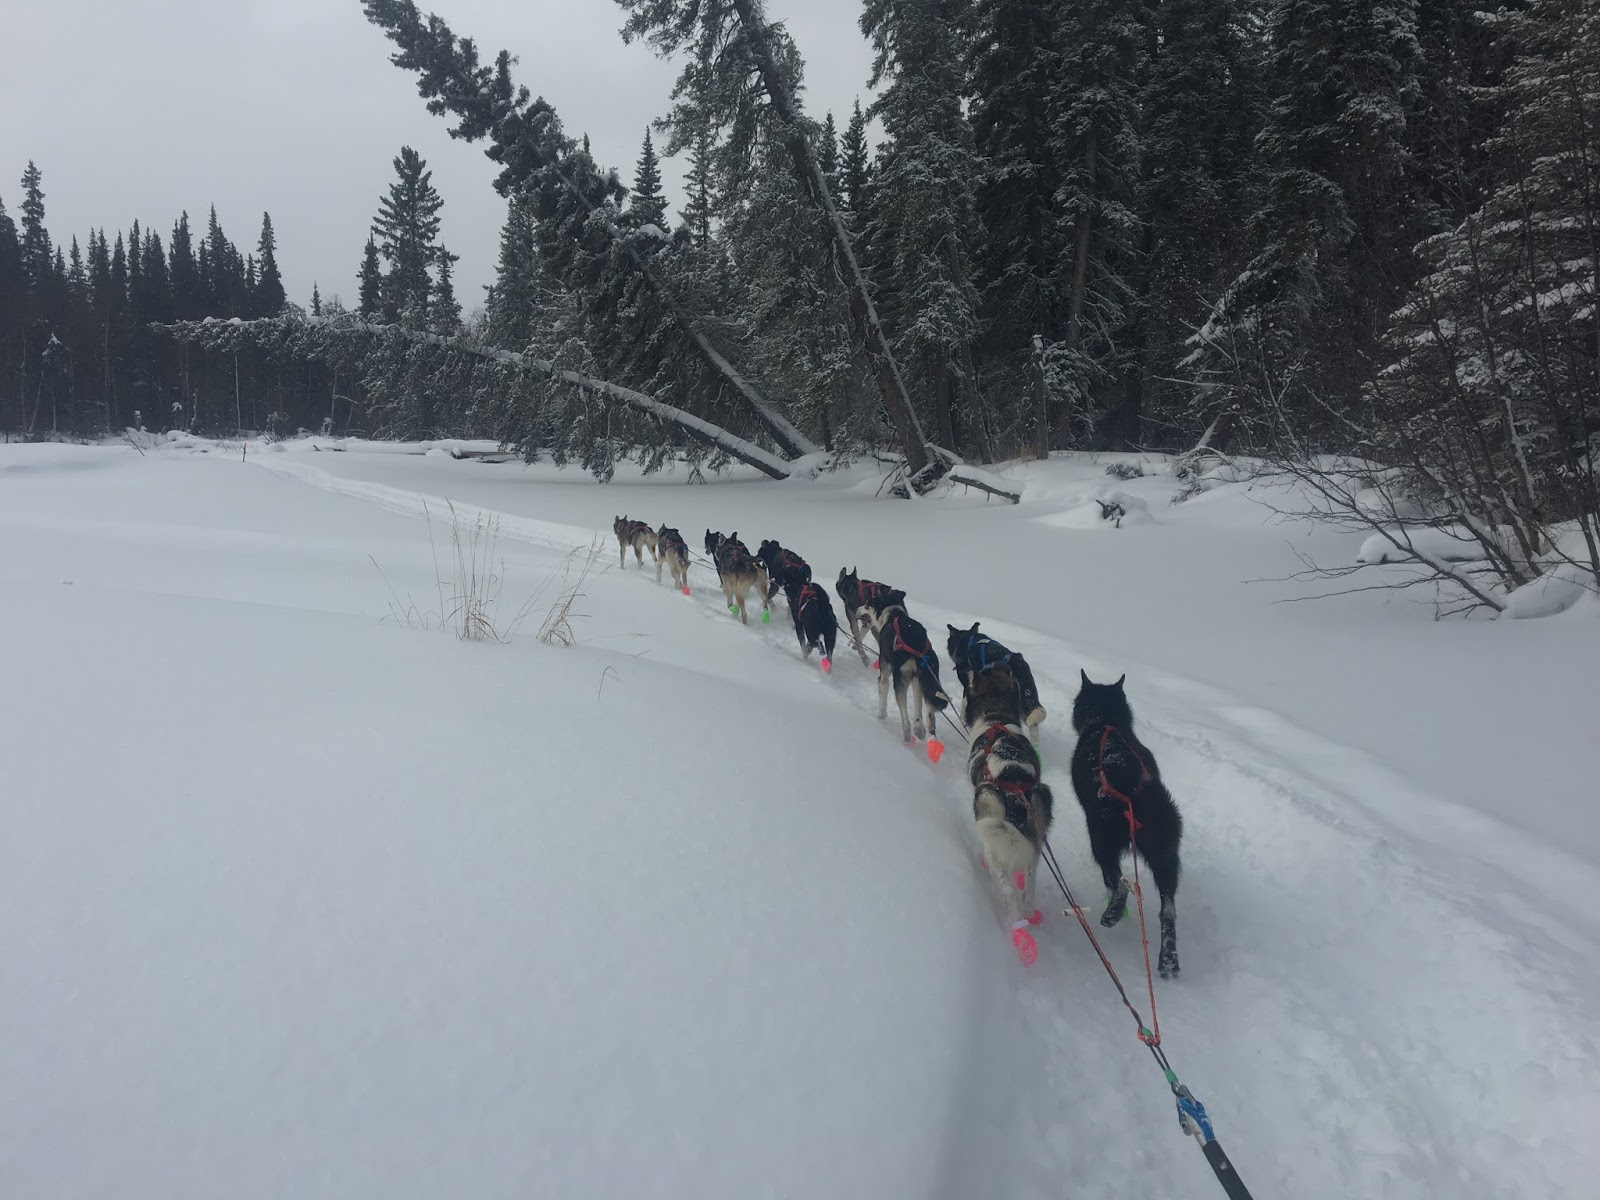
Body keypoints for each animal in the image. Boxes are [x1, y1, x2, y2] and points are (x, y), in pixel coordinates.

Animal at [1068, 672, 1184, 979]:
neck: (1106, 721)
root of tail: (1134, 793)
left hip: (1101, 839)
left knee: (1118, 885)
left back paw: (1112, 914)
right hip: (1166, 854)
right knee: (1168, 909)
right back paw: (1168, 959)